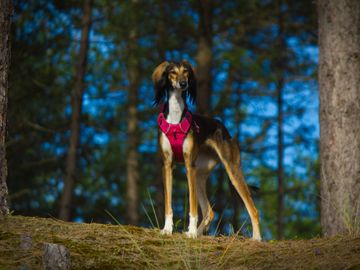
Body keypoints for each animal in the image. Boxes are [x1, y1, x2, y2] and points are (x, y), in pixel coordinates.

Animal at [153, 60, 262, 239]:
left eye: (186, 72)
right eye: (172, 72)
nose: (183, 84)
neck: (175, 118)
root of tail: (223, 128)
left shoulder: (189, 165)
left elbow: (192, 205)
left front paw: (190, 232)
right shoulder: (167, 164)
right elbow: (168, 203)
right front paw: (167, 229)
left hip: (231, 169)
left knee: (253, 208)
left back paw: (257, 238)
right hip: (199, 174)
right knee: (210, 212)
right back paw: (198, 232)